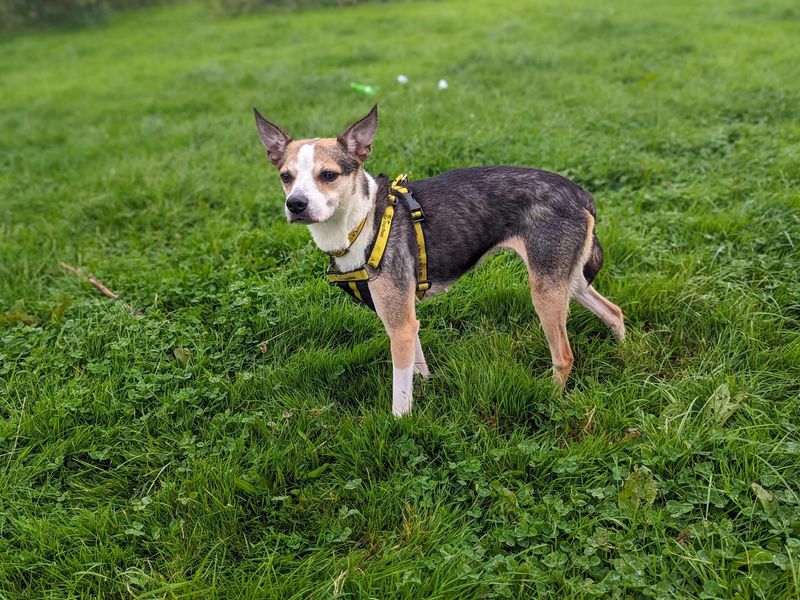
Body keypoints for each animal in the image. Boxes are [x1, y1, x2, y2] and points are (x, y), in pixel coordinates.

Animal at [255, 105, 624, 414]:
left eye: (328, 175)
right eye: (285, 176)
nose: (296, 205)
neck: (362, 221)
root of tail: (579, 194)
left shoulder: (400, 325)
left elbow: (399, 397)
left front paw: (400, 428)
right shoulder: (404, 319)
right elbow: (417, 367)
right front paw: (428, 387)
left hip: (546, 288)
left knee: (564, 355)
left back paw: (550, 397)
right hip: (568, 279)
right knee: (614, 311)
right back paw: (624, 354)